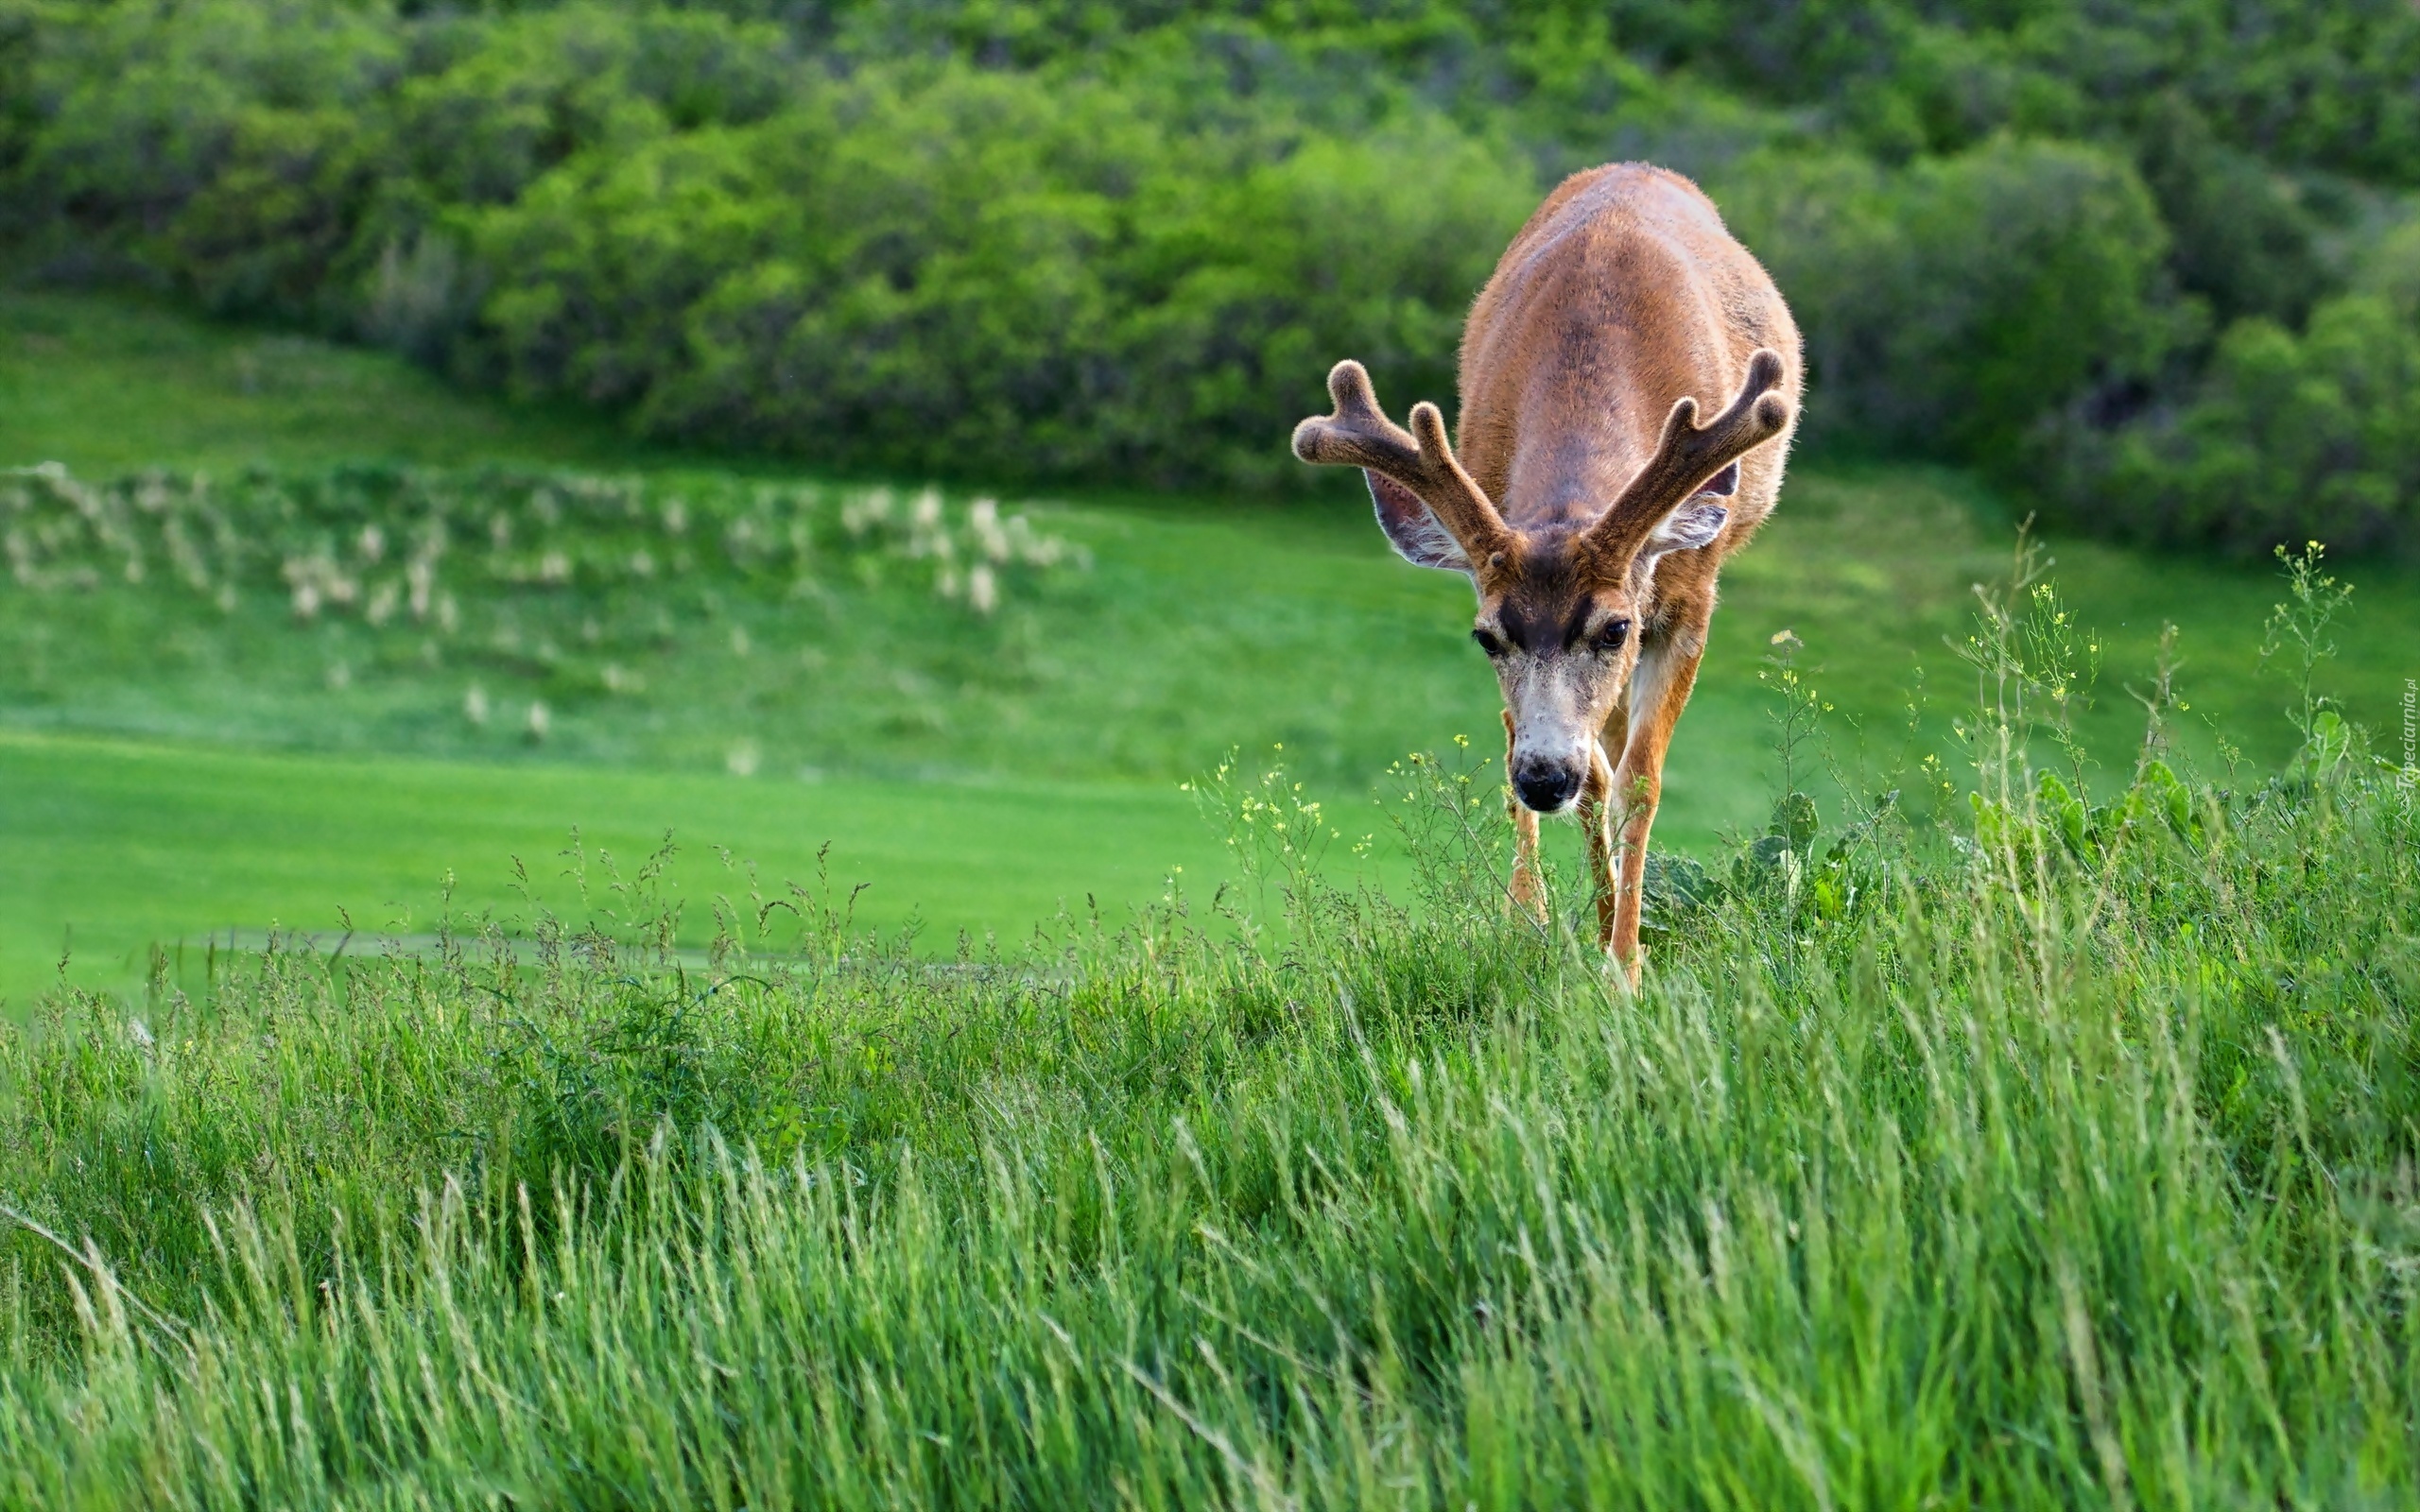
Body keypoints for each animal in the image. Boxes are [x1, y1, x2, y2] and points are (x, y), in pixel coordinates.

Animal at [1287, 162, 1800, 977]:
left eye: (1614, 627)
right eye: (1486, 637)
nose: (1542, 776)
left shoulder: (1689, 595)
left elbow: (1641, 783)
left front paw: (1626, 966)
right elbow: (1581, 772)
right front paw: (1542, 920)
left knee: (1617, 758)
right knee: (1586, 754)